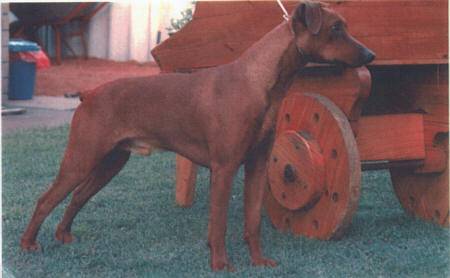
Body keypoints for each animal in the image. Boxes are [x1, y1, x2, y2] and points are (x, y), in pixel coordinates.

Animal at [20, 1, 372, 272]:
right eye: (336, 28)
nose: (370, 54)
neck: (258, 82)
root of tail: (89, 93)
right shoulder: (225, 168)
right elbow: (219, 224)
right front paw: (221, 265)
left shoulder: (257, 166)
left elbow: (253, 221)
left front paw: (259, 262)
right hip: (81, 158)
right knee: (45, 199)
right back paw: (28, 244)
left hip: (110, 162)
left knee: (78, 196)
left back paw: (63, 236)